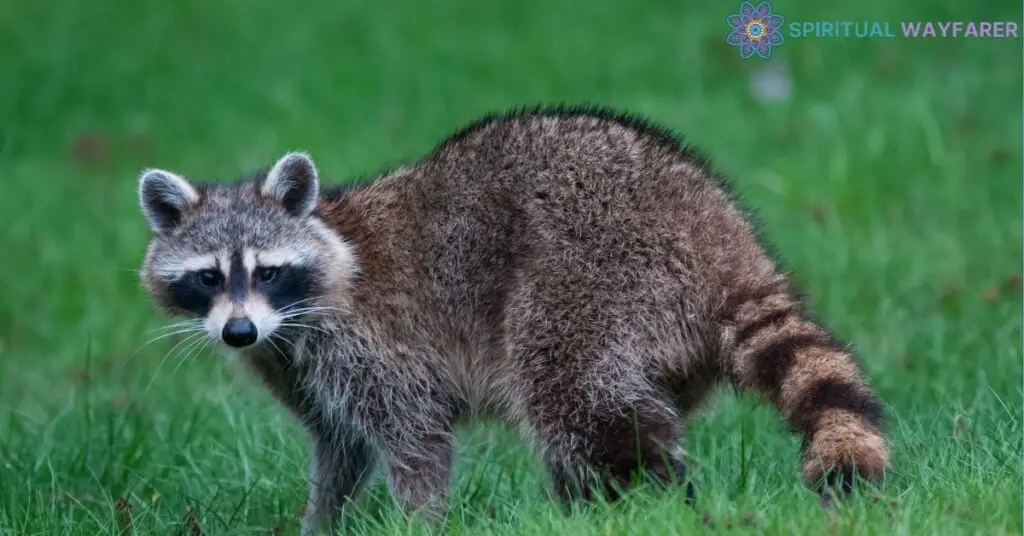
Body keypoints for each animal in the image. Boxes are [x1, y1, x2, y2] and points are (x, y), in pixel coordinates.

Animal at [136, 106, 888, 536]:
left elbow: (416, 440)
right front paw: (322, 521)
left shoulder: (371, 344)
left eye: (266, 272)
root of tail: (720, 237)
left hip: (594, 276)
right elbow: (339, 449)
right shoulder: (297, 363)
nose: (238, 333)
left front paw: (419, 523)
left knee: (578, 401)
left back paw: (648, 501)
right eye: (208, 278)